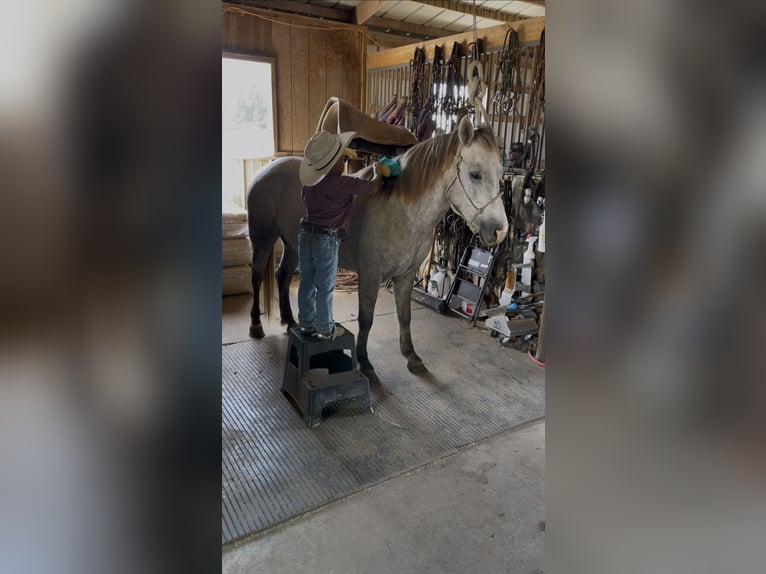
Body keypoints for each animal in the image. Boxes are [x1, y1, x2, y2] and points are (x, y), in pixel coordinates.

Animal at [247, 116, 508, 385]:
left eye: (500, 174)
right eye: (475, 174)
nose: (500, 231)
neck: (403, 211)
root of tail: (266, 171)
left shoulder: (405, 276)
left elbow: (405, 316)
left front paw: (412, 357)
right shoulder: (370, 276)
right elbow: (366, 319)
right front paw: (364, 363)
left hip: (292, 245)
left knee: (282, 276)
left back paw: (290, 321)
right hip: (263, 240)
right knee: (256, 278)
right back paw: (256, 325)